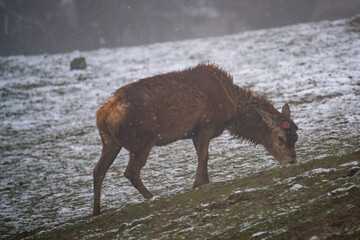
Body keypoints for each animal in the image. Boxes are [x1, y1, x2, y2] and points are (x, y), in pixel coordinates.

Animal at [93, 63, 298, 216]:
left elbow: (203, 155)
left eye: (296, 136)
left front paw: (204, 181)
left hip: (110, 142)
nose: (292, 160)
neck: (232, 105)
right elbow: (203, 155)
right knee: (131, 171)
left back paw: (96, 210)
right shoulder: (207, 123)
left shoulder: (194, 132)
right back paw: (152, 197)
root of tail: (102, 115)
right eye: (280, 138)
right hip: (142, 142)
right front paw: (198, 184)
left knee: (98, 170)